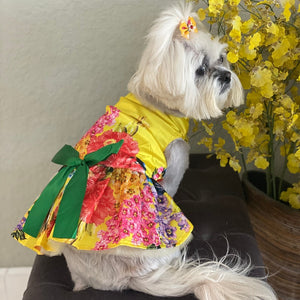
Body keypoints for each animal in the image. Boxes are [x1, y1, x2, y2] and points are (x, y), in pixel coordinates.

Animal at [13, 2, 276, 300]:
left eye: (221, 58)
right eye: (200, 70)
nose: (226, 75)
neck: (158, 104)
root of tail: (128, 279)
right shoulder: (175, 160)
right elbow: (170, 184)